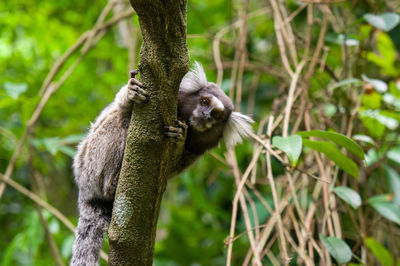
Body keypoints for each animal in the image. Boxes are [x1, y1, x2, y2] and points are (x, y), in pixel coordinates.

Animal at [69, 61, 253, 264]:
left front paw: (179, 137)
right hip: (91, 162)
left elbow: (174, 164)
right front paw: (131, 94)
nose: (205, 115)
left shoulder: (195, 151)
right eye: (204, 102)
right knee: (122, 121)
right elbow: (118, 108)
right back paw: (111, 183)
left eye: (217, 116)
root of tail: (84, 188)